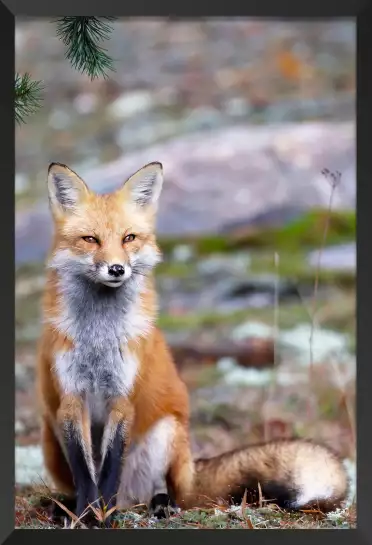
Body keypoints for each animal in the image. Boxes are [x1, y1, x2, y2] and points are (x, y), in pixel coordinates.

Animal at [36, 160, 348, 524]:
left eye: (129, 238)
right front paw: (86, 515)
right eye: (90, 239)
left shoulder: (122, 398)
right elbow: (87, 474)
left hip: (167, 433)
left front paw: (104, 516)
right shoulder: (71, 399)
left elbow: (110, 469)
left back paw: (158, 505)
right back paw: (63, 507)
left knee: (164, 493)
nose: (116, 269)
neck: (98, 338)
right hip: (51, 439)